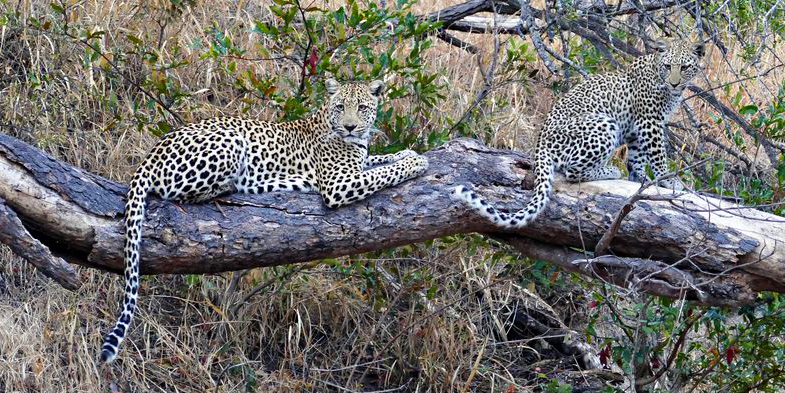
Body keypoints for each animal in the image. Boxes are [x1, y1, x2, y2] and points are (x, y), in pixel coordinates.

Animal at [99, 78, 428, 362]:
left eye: (361, 107)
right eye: (340, 107)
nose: (349, 126)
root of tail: (150, 155)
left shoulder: (357, 164)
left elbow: (377, 161)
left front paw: (406, 152)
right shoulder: (338, 184)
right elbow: (382, 173)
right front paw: (416, 161)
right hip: (230, 142)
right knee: (183, 193)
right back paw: (242, 185)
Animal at [454, 39, 704, 227]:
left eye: (684, 68)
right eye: (668, 66)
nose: (674, 83)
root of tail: (539, 145)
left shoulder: (637, 129)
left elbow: (637, 158)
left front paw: (640, 179)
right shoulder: (649, 122)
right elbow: (658, 155)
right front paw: (669, 180)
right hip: (604, 124)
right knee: (573, 172)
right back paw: (610, 171)